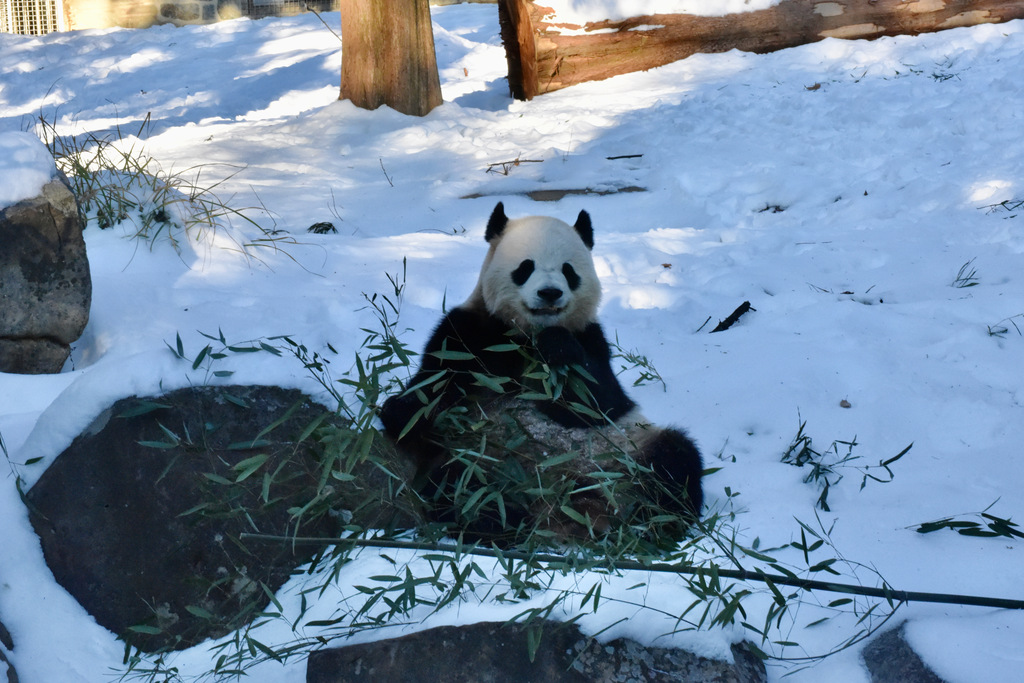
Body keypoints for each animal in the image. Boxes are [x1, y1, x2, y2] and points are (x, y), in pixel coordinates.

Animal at [380, 202, 700, 544]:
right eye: (525, 267)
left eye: (568, 271)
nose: (549, 293)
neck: (527, 338)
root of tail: (570, 506)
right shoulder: (467, 334)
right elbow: (428, 390)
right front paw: (401, 408)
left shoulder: (590, 338)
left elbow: (599, 402)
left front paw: (558, 350)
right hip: (476, 461)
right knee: (457, 490)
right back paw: (502, 522)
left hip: (629, 450)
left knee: (675, 462)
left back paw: (652, 525)